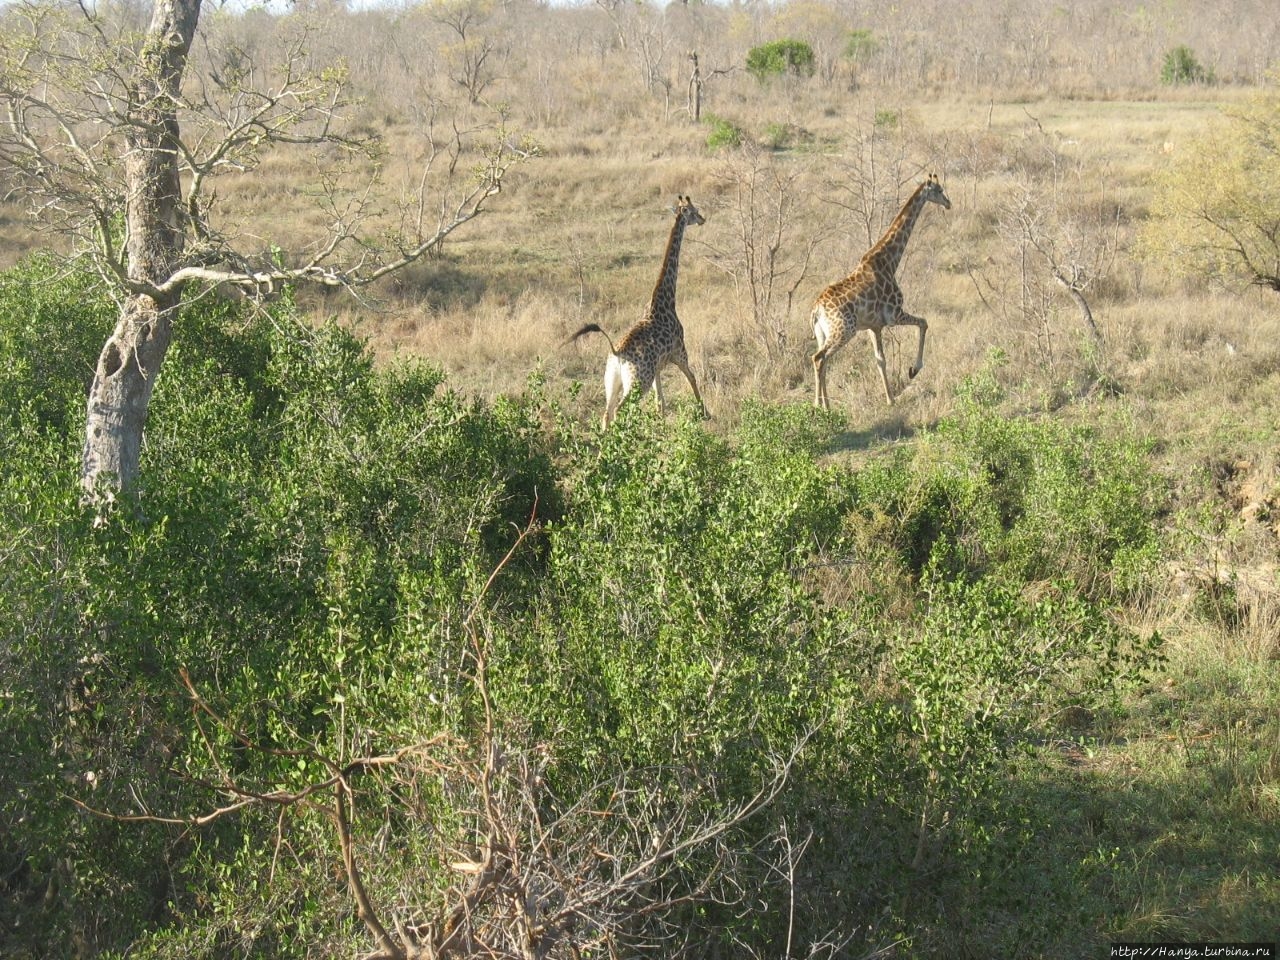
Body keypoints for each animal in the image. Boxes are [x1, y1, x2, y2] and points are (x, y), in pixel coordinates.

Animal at [573, 195, 711, 427]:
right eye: (693, 211)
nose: (703, 219)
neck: (665, 300)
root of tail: (617, 353)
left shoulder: (657, 368)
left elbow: (660, 401)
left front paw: (661, 423)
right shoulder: (680, 352)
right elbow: (691, 378)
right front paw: (705, 412)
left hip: (612, 381)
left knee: (606, 412)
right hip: (638, 381)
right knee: (619, 409)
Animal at [808, 175, 952, 407]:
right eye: (939, 190)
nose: (948, 203)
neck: (890, 260)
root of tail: (816, 310)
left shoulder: (873, 326)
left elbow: (880, 360)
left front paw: (890, 399)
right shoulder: (894, 315)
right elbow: (924, 322)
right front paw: (913, 370)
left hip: (823, 333)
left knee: (821, 359)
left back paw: (819, 404)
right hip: (844, 330)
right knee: (819, 358)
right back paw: (825, 406)